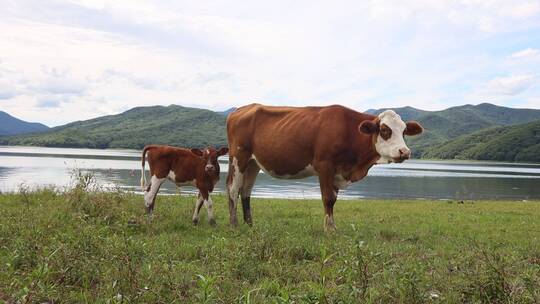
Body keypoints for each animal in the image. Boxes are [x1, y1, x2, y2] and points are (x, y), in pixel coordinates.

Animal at [226, 103, 424, 232]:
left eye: (404, 131)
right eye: (384, 130)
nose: (405, 152)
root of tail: (241, 109)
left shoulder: (337, 171)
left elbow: (334, 200)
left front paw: (332, 227)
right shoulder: (324, 165)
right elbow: (328, 199)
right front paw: (329, 230)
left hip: (253, 163)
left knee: (246, 191)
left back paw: (250, 225)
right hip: (238, 157)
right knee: (233, 188)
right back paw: (234, 225)